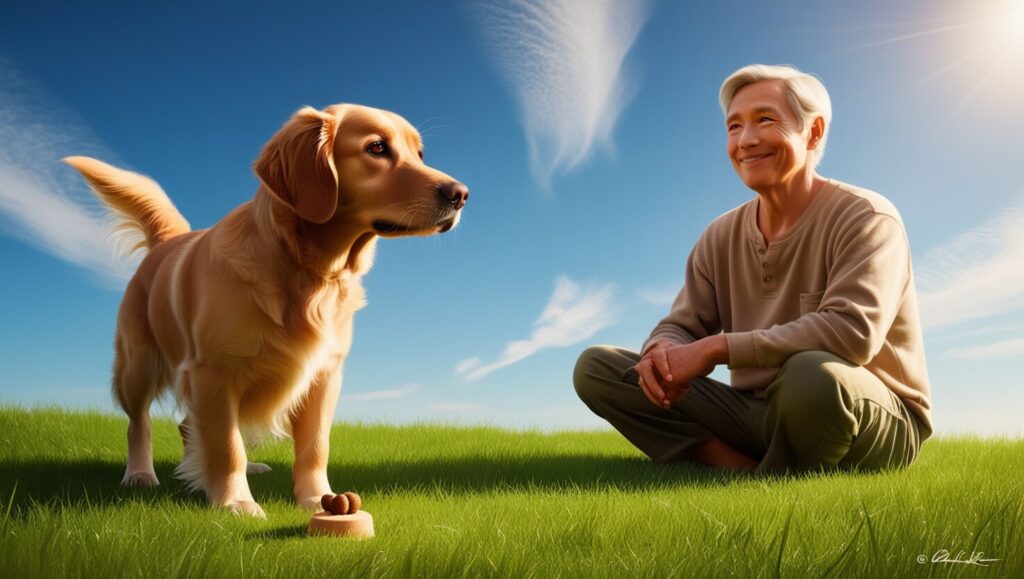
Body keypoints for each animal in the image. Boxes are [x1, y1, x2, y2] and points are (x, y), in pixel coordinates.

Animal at [68, 102, 471, 514]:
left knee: (188, 425)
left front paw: (316, 499)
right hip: (139, 365)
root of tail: (168, 242)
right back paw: (140, 474)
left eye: (419, 154)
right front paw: (236, 504)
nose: (461, 194)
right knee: (140, 423)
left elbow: (314, 447)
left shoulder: (325, 375)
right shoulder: (212, 372)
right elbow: (227, 447)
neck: (311, 272)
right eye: (377, 148)